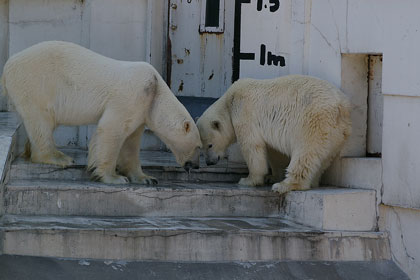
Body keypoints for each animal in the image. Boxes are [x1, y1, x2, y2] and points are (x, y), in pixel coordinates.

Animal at [1, 39, 202, 184]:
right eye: (199, 146)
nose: (197, 166)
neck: (155, 90)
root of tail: (7, 65)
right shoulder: (131, 97)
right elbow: (111, 130)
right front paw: (114, 177)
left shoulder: (141, 110)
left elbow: (131, 142)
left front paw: (146, 178)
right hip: (36, 84)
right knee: (41, 121)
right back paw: (58, 157)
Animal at [197, 74, 352, 195]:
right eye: (202, 147)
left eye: (210, 145)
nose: (209, 162)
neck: (229, 102)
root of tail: (341, 106)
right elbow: (275, 152)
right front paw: (272, 176)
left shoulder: (244, 113)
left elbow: (252, 146)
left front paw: (249, 180)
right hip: (338, 133)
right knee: (324, 156)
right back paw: (311, 181)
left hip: (312, 123)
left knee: (305, 152)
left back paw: (285, 185)